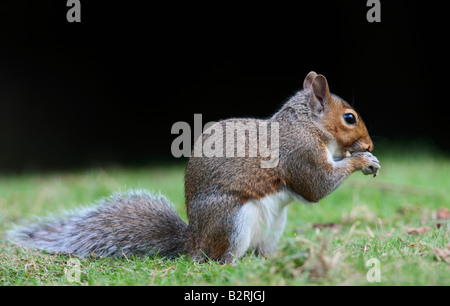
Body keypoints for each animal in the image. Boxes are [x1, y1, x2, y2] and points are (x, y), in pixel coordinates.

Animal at [6, 71, 380, 262]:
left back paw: (270, 259)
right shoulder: (298, 152)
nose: (370, 145)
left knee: (259, 251)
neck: (307, 125)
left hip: (273, 226)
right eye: (349, 118)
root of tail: (194, 241)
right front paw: (360, 160)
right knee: (219, 257)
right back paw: (231, 264)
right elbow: (316, 186)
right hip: (232, 220)